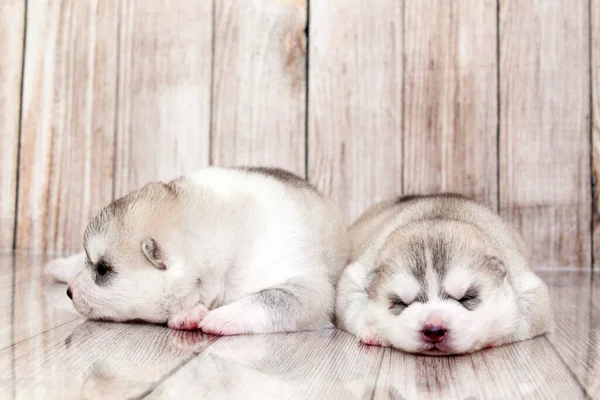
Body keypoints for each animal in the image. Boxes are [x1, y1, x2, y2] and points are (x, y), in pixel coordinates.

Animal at [48, 167, 352, 336]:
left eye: (102, 269)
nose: (70, 292)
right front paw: (189, 314)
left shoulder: (308, 288)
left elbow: (267, 299)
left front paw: (221, 317)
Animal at [336, 194, 552, 354]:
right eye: (401, 303)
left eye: (466, 298)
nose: (433, 329)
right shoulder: (354, 277)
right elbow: (352, 307)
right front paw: (374, 331)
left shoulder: (531, 290)